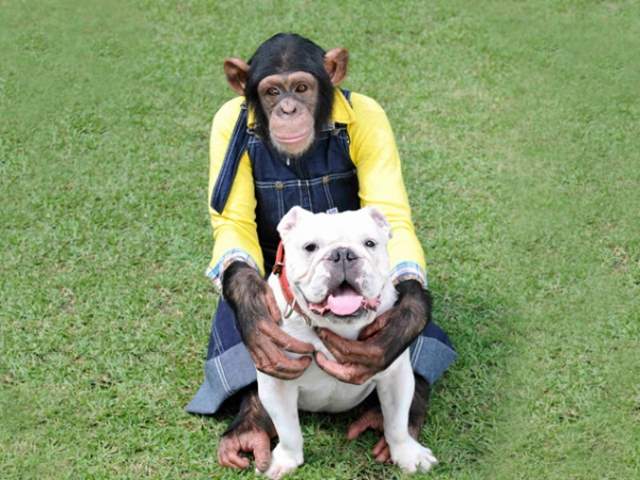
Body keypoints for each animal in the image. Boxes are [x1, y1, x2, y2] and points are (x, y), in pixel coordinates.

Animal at [186, 34, 460, 472]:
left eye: (301, 88)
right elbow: (289, 429)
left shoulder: (393, 374)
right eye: (272, 92)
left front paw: (404, 450)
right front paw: (285, 458)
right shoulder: (278, 382)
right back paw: (249, 428)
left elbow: (397, 418)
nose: (343, 254)